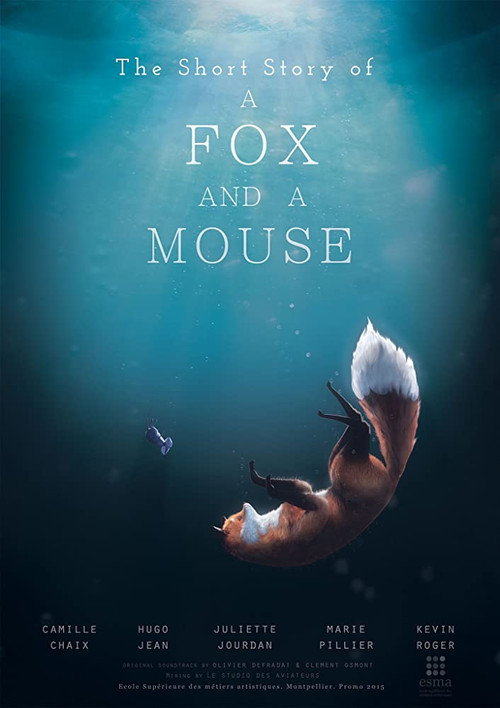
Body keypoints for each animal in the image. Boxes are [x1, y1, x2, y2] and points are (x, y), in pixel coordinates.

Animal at [215, 320, 420, 567]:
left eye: (236, 516)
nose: (244, 507)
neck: (264, 540)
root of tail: (393, 478)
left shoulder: (303, 496)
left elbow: (293, 486)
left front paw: (260, 479)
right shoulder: (315, 509)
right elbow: (297, 495)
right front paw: (268, 486)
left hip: (336, 462)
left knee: (358, 424)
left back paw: (336, 405)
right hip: (342, 469)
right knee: (361, 426)